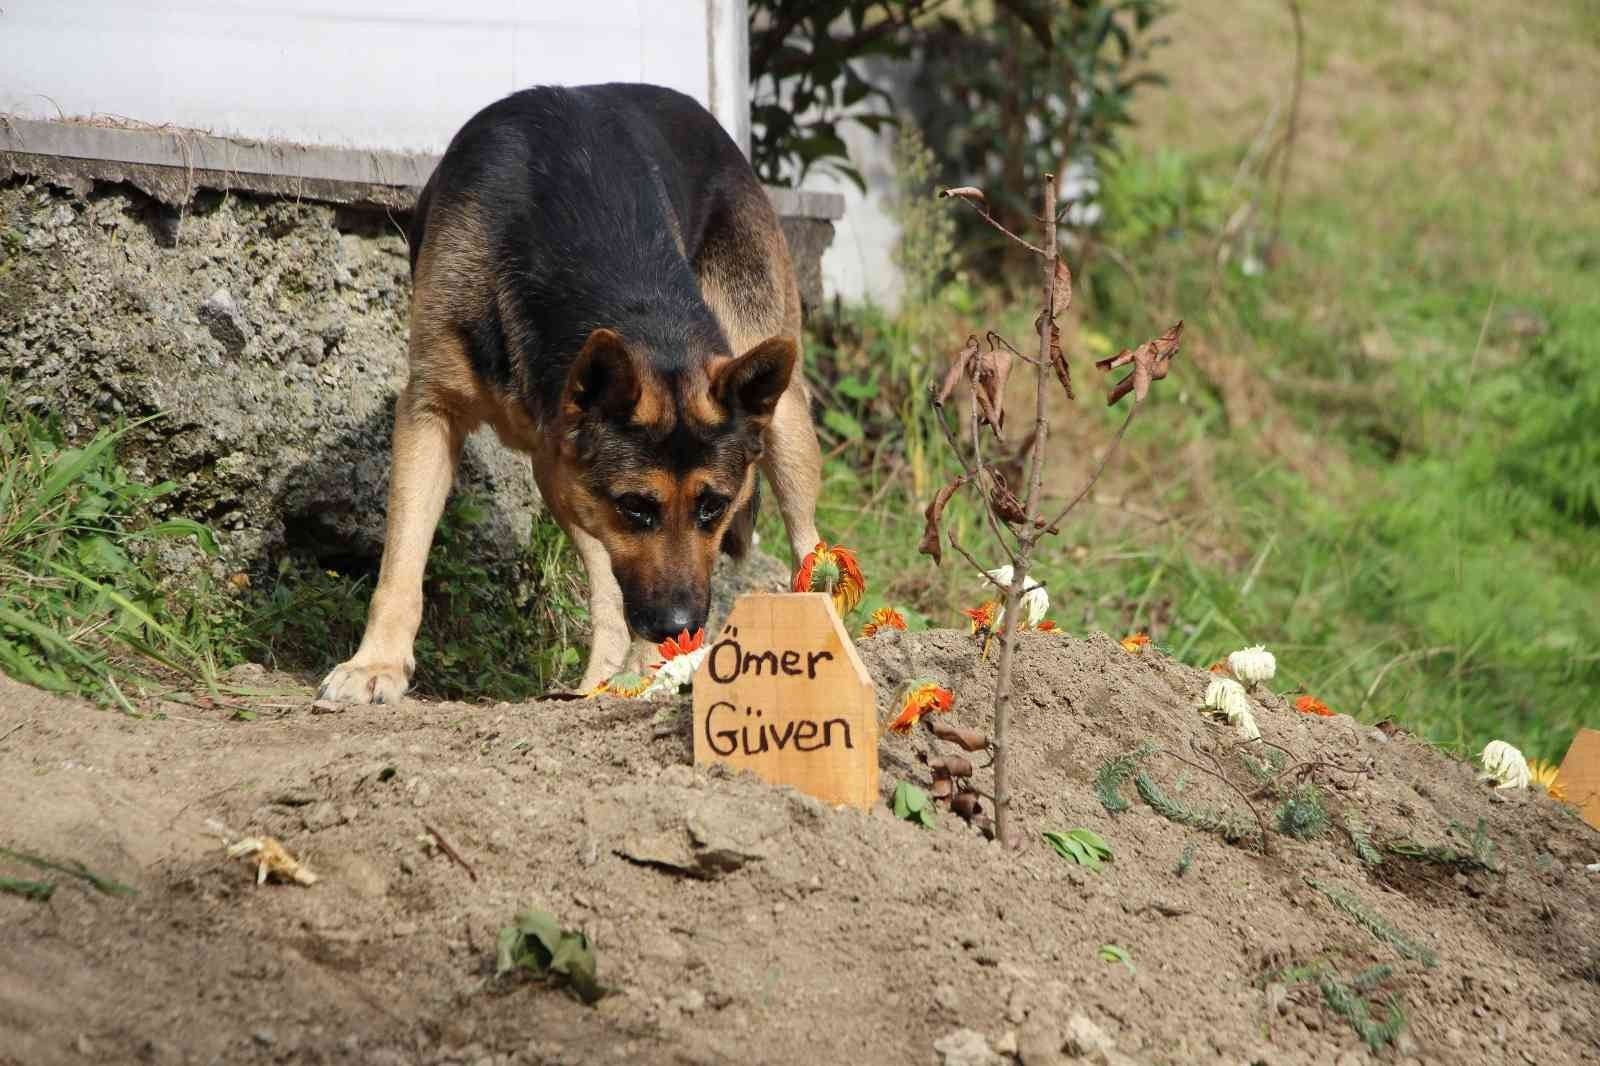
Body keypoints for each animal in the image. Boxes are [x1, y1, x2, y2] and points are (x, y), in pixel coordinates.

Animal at [324, 83, 825, 697]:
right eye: (636, 507)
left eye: (713, 506)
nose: (681, 627)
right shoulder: (429, 413)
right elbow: (401, 561)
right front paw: (377, 665)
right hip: (560, 478)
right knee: (609, 590)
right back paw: (604, 680)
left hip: (784, 418)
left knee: (809, 548)